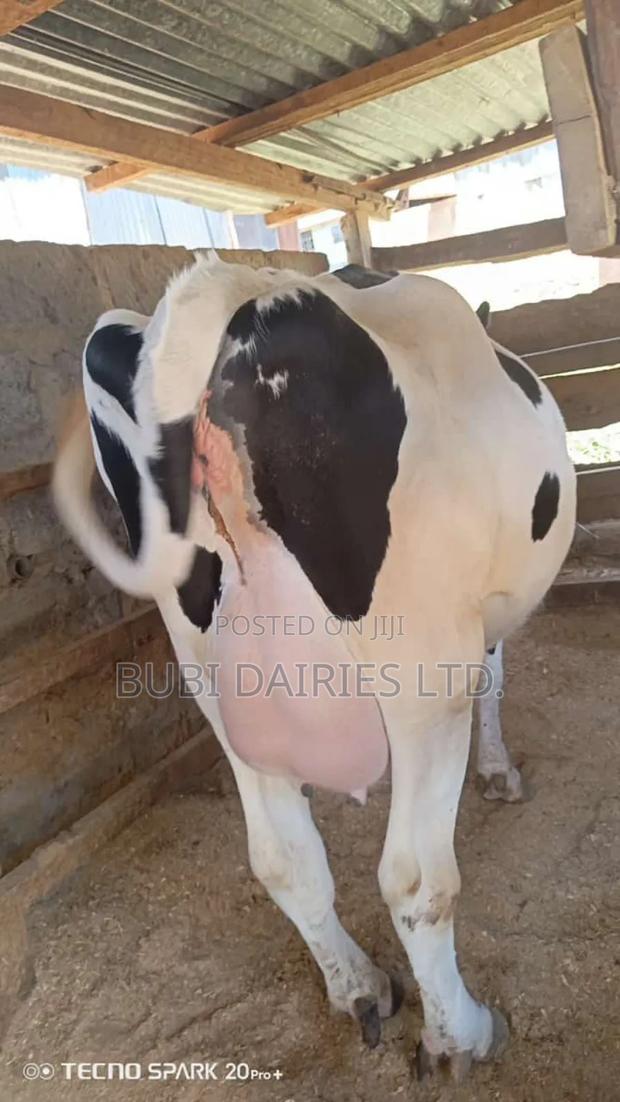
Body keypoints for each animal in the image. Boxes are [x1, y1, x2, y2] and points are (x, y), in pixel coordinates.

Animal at [53, 254, 576, 1081]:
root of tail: (223, 292)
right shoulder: (475, 629)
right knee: (416, 878)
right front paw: (499, 772)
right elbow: (496, 679)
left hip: (213, 676)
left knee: (283, 859)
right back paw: (458, 1036)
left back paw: (358, 986)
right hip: (421, 672)